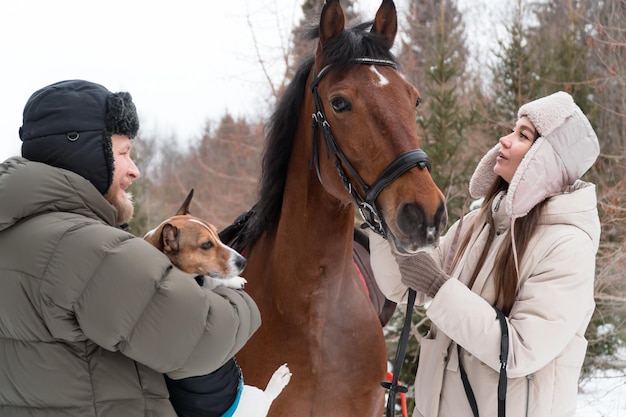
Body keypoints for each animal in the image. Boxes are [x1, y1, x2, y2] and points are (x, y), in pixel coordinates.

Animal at [144, 189, 290, 416]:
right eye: (206, 245)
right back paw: (279, 379)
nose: (243, 262)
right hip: (254, 395)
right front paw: (234, 280)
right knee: (268, 397)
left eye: (216, 234)